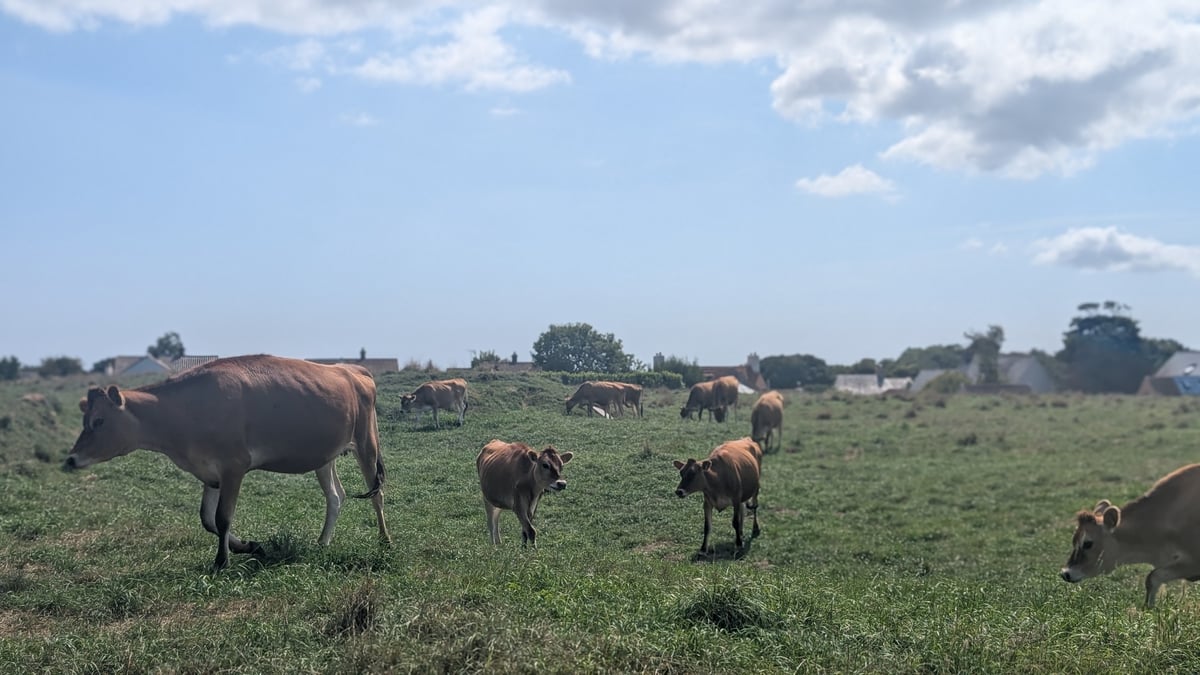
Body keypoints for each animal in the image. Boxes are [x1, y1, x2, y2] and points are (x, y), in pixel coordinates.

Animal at [63, 354, 390, 571]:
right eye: (85, 419)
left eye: (99, 420)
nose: (71, 459)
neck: (183, 412)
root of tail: (350, 368)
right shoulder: (210, 472)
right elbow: (207, 520)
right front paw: (250, 546)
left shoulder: (234, 466)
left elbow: (222, 518)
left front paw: (222, 561)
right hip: (325, 456)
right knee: (336, 497)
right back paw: (322, 542)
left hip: (366, 444)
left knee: (377, 495)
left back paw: (384, 541)